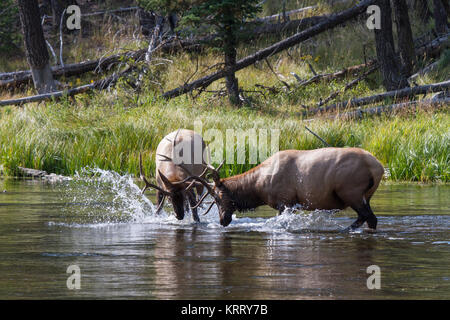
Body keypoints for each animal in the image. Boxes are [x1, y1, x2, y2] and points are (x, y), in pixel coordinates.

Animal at [179, 148, 384, 230]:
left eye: (217, 198)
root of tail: (379, 167)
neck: (259, 186)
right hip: (365, 195)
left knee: (368, 217)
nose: (223, 220)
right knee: (368, 218)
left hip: (351, 192)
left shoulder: (284, 202)